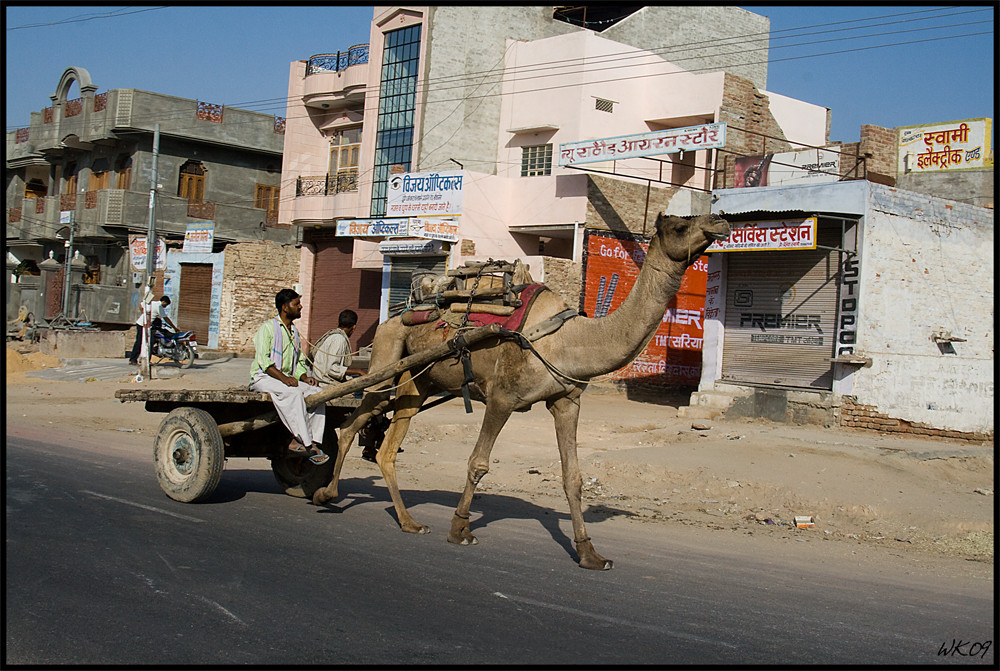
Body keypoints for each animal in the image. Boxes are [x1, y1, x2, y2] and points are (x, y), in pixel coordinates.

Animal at [316, 213, 732, 568]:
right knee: (353, 419)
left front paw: (590, 554)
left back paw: (408, 522)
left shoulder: (566, 401)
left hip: (418, 381)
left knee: (385, 444)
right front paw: (460, 529)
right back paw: (326, 494)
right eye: (680, 226)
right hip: (387, 359)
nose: (721, 221)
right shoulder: (502, 397)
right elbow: (478, 463)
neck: (568, 340)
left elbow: (573, 477)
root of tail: (393, 317)